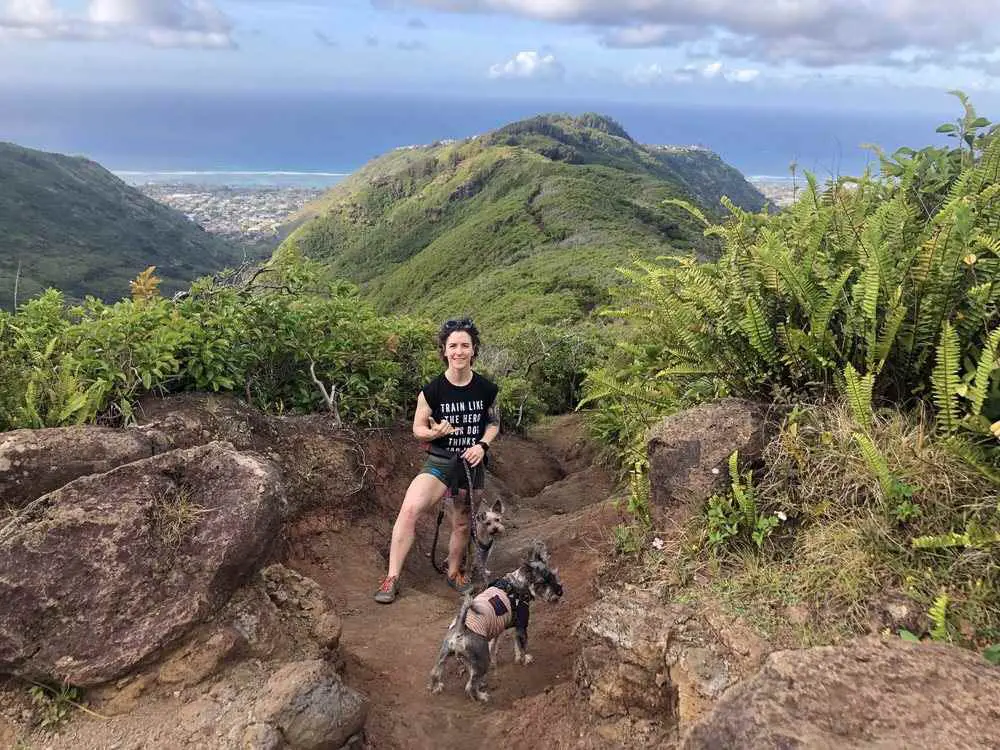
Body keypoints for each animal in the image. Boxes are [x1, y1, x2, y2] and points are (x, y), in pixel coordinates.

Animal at [428, 544, 564, 704]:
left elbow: (496, 646)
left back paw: (437, 687)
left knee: (436, 672)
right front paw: (524, 659)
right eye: (542, 582)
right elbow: (521, 646)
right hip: (481, 661)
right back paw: (481, 696)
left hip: (447, 654)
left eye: (553, 576)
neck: (516, 584)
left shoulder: (497, 630)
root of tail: (460, 631)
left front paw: (502, 660)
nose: (559, 591)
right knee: (470, 686)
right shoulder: (521, 627)